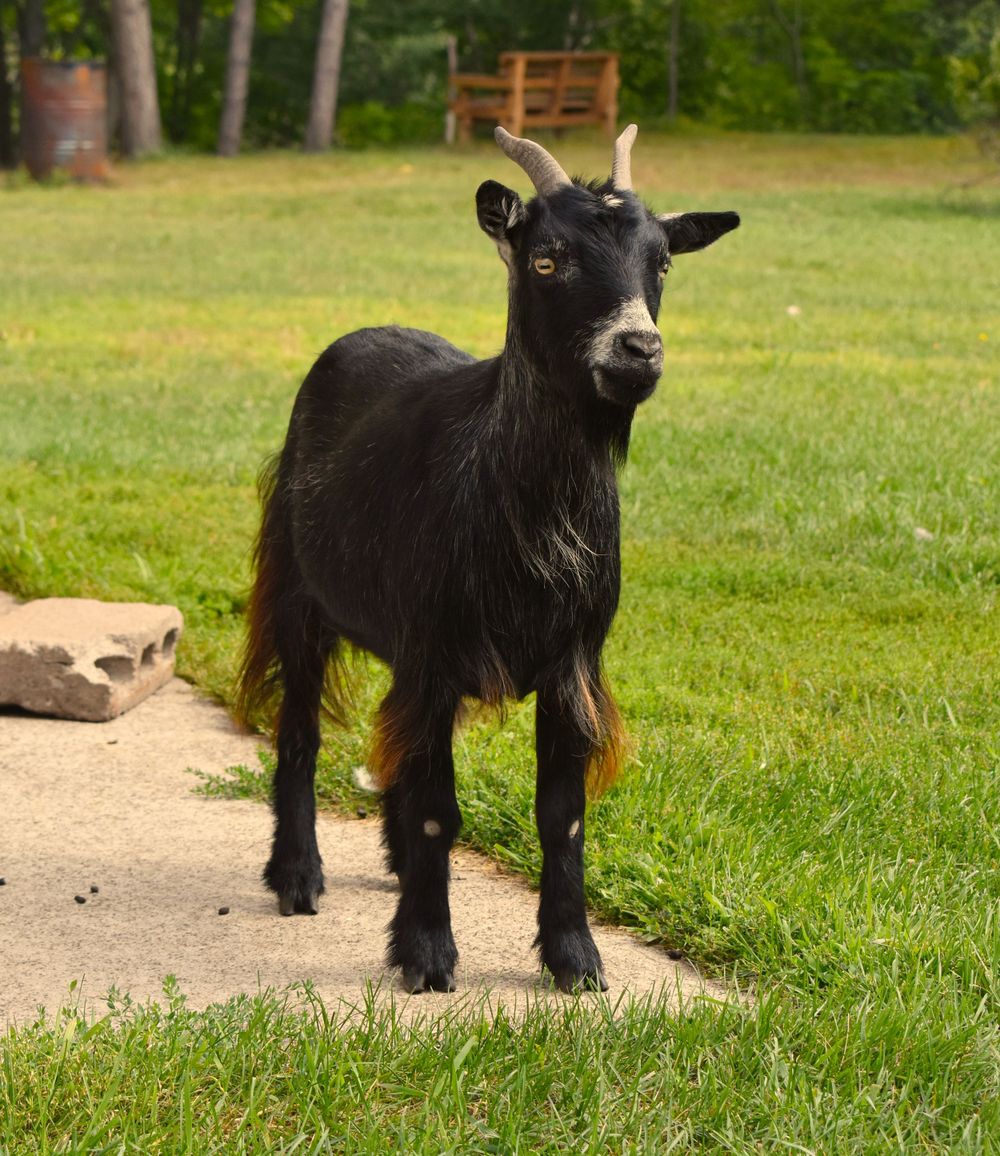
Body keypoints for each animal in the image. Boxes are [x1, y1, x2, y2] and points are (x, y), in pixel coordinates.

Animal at [236, 125, 739, 993]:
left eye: (663, 262)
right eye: (546, 259)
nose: (637, 350)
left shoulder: (571, 664)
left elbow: (560, 815)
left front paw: (575, 959)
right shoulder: (436, 653)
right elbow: (441, 808)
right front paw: (427, 954)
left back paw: (395, 863)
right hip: (300, 595)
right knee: (299, 732)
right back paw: (298, 876)